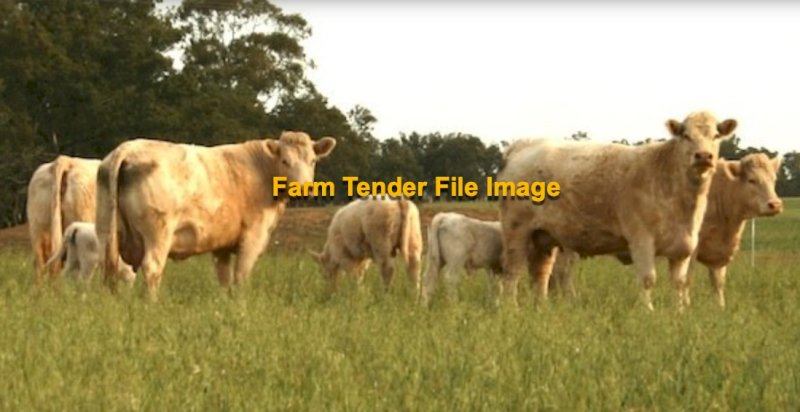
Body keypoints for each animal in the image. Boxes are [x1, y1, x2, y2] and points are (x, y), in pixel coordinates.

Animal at [96, 131, 336, 298]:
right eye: (285, 161)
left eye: (313, 161)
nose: (304, 189)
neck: (263, 171)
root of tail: (128, 148)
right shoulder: (252, 237)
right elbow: (240, 278)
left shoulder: (222, 245)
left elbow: (224, 279)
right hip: (158, 234)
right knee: (152, 268)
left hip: (107, 232)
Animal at [420, 212, 578, 306]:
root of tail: (445, 216)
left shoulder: (493, 267)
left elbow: (496, 286)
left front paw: (494, 303)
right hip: (455, 260)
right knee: (451, 279)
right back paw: (453, 304)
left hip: (435, 260)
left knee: (429, 280)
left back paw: (425, 304)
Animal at [497, 111, 737, 310]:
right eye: (686, 135)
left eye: (716, 135)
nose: (703, 156)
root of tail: (526, 144)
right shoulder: (641, 239)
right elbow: (648, 278)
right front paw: (647, 312)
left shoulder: (683, 246)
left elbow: (679, 283)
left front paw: (678, 313)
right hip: (516, 229)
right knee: (513, 271)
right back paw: (511, 308)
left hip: (544, 236)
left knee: (541, 273)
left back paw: (542, 308)